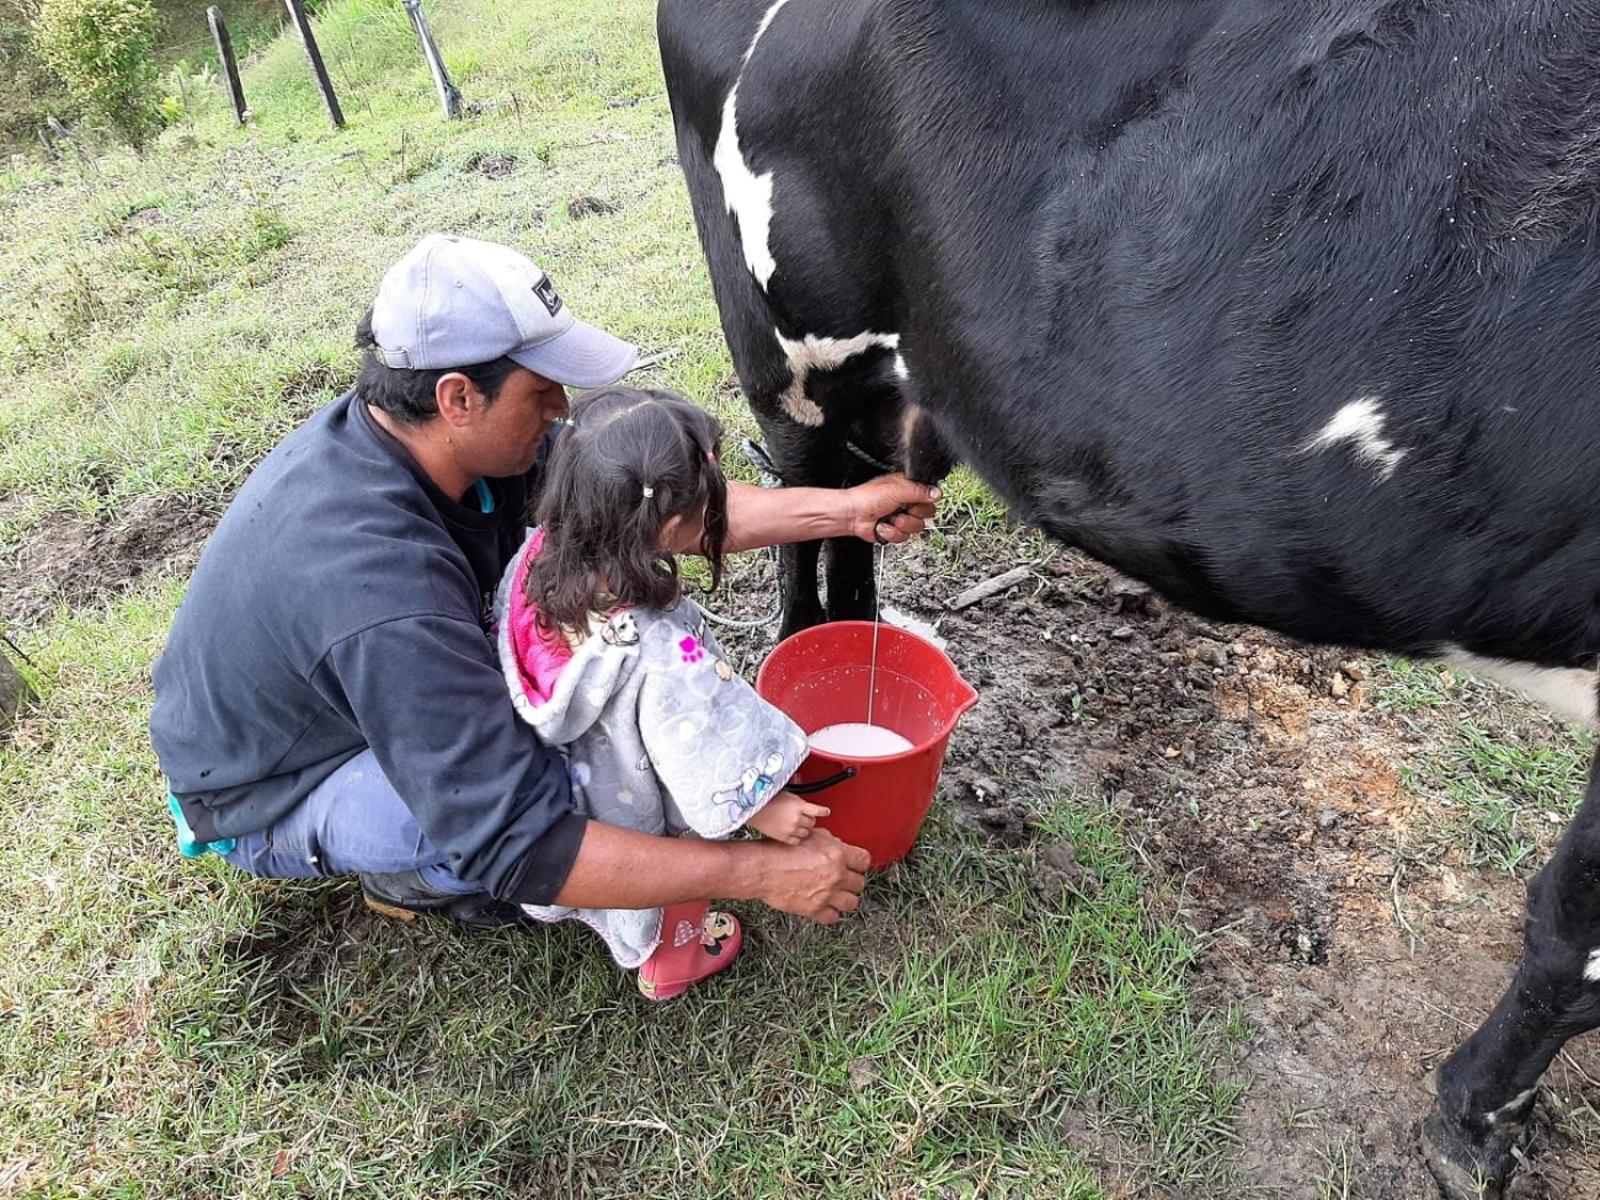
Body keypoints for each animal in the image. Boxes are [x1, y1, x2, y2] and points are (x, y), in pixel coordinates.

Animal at [659, 0, 1600, 1196]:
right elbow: (1576, 936)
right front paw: (1473, 1123)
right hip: (785, 356)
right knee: (796, 514)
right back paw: (801, 655)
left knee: (851, 528)